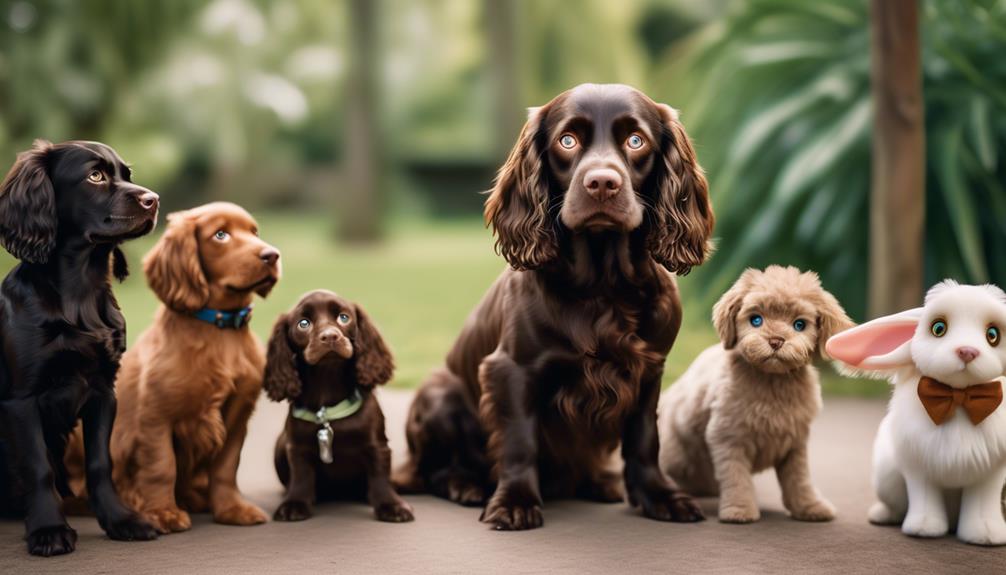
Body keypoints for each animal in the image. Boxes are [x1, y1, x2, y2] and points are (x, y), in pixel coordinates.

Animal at [0, 136, 159, 554]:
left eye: (127, 174)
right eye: (95, 176)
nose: (153, 200)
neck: (79, 293)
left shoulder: (103, 389)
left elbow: (100, 463)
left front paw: (120, 520)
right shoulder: (20, 399)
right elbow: (38, 466)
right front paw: (48, 529)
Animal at [267, 291, 412, 522]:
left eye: (344, 318)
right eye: (303, 323)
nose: (330, 337)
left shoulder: (377, 445)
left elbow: (380, 474)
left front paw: (392, 505)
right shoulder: (296, 447)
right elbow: (301, 475)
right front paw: (295, 503)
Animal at [392, 84, 716, 530]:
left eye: (636, 141)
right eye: (568, 140)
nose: (602, 183)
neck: (603, 286)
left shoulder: (649, 371)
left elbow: (644, 439)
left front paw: (659, 496)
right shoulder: (511, 370)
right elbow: (519, 440)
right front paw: (514, 501)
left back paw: (600, 482)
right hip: (438, 394)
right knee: (430, 471)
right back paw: (466, 485)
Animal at [655, 267, 853, 522]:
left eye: (800, 324)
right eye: (756, 319)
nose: (776, 341)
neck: (772, 381)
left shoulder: (795, 443)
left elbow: (799, 479)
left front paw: (809, 507)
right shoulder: (729, 438)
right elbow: (736, 476)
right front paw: (739, 510)